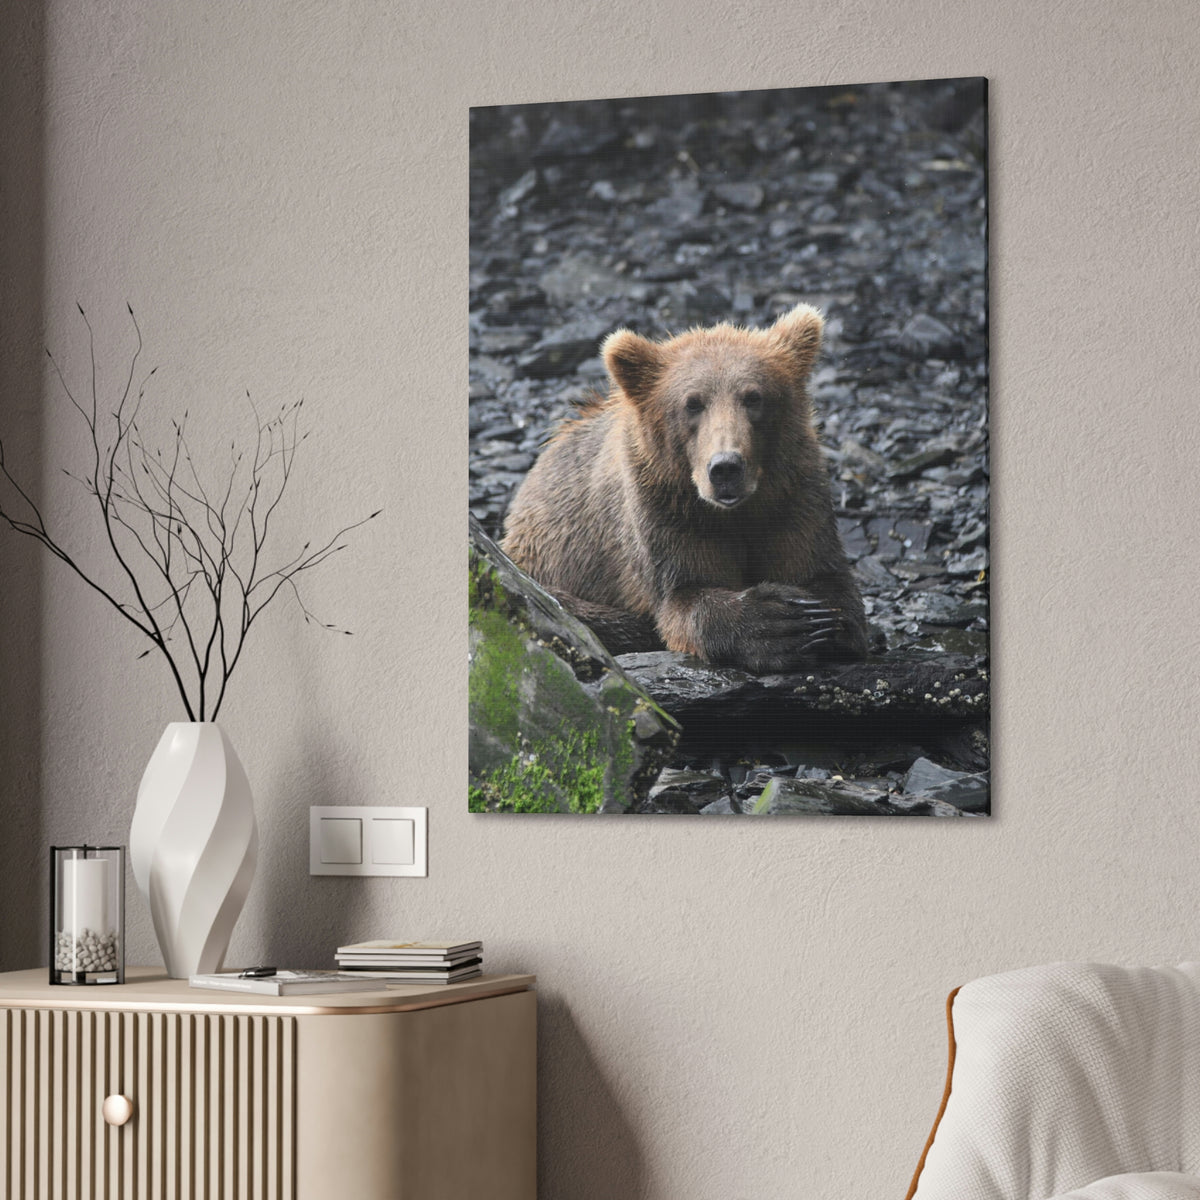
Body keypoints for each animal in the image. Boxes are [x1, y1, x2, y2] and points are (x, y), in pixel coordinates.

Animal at [500, 304, 868, 674]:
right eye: (693, 403)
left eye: (754, 397)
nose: (725, 468)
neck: (735, 512)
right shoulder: (666, 511)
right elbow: (685, 596)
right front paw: (779, 622)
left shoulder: (793, 497)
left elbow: (824, 575)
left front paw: (819, 619)